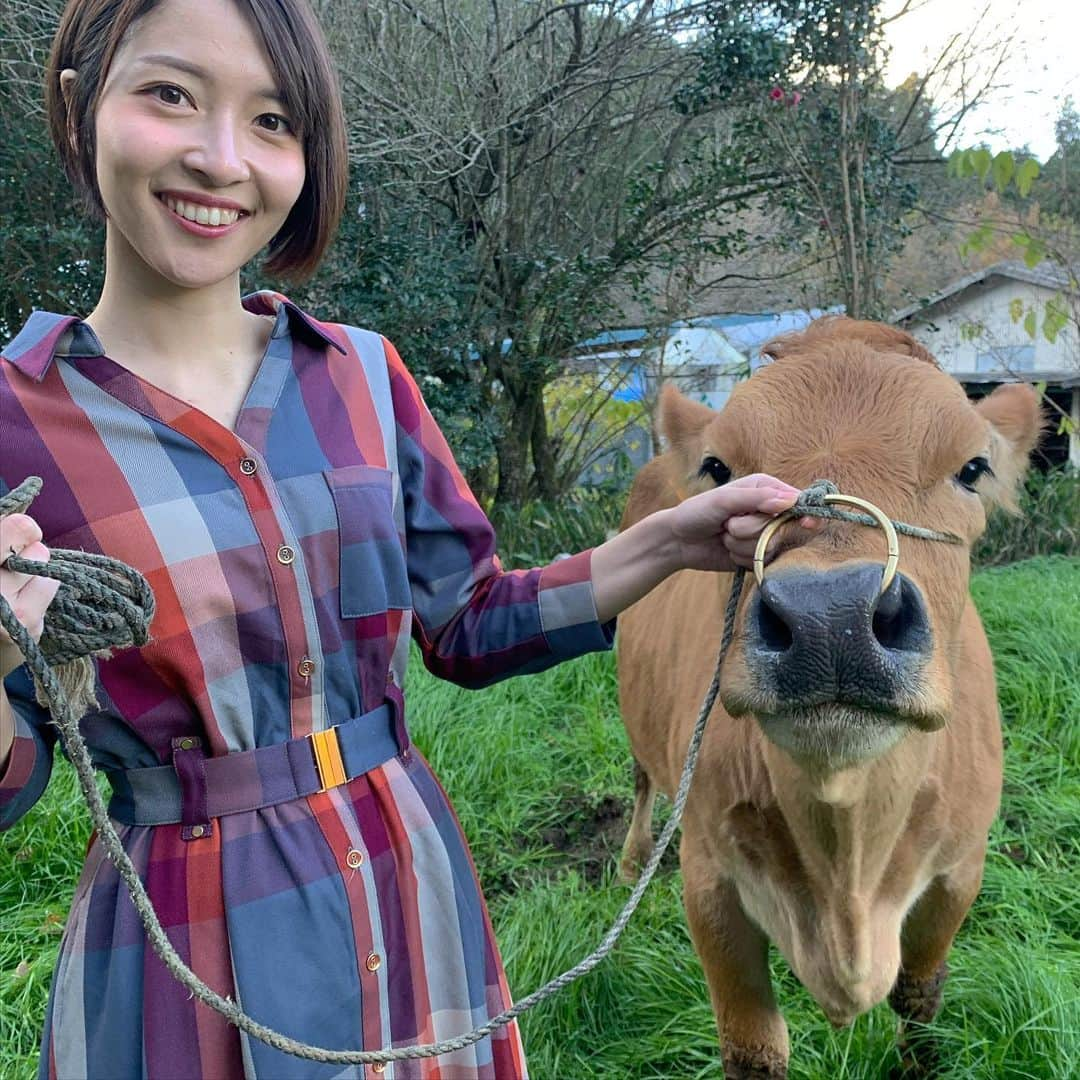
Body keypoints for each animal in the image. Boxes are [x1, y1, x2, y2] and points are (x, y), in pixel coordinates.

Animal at [617, 317, 1045, 1080]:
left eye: (972, 468)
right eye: (720, 469)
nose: (831, 618)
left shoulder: (961, 868)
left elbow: (921, 995)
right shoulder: (711, 883)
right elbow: (753, 1049)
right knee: (642, 778)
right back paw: (635, 860)